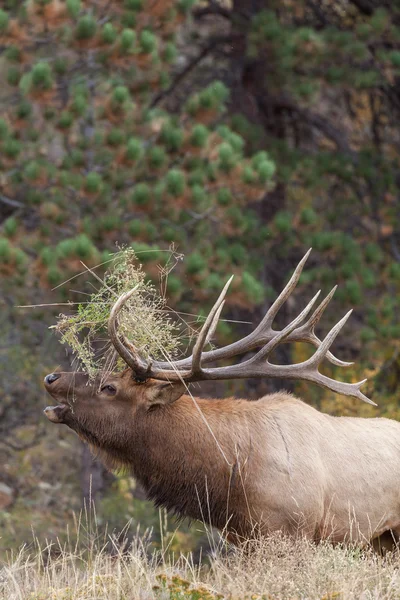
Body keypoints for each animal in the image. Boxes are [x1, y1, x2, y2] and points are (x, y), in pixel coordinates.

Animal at [43, 251, 400, 552]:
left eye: (109, 387)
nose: (52, 378)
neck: (232, 479)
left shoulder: (293, 532)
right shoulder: (243, 539)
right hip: (380, 542)